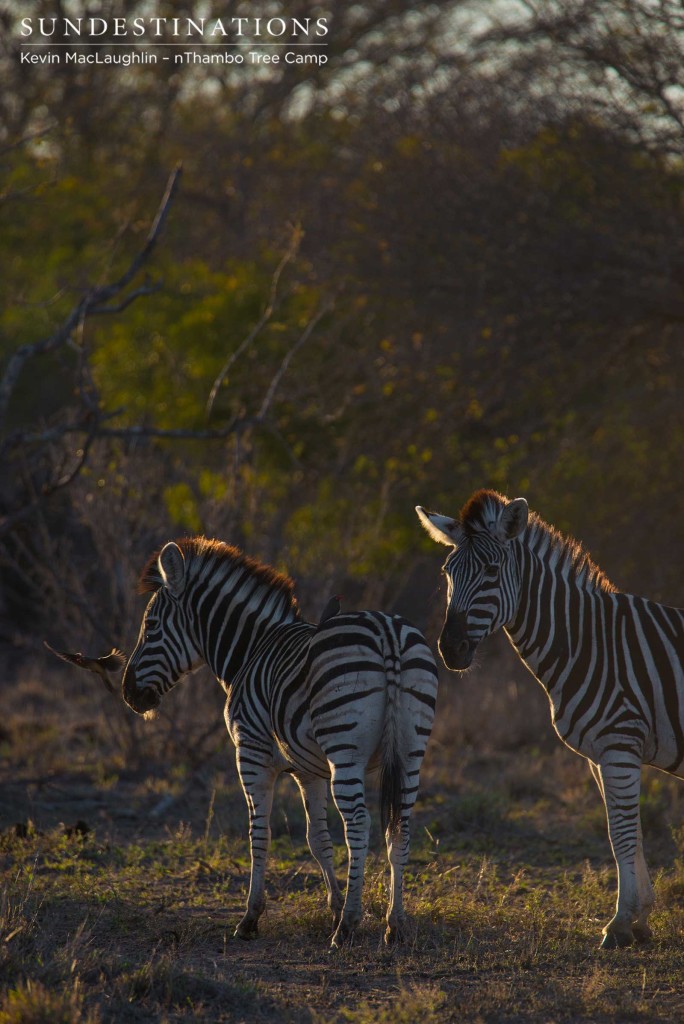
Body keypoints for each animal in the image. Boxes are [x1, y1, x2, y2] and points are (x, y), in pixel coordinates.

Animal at [121, 540, 438, 946]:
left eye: (150, 626)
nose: (129, 694)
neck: (251, 648)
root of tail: (387, 632)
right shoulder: (310, 771)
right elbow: (317, 838)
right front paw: (333, 905)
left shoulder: (250, 752)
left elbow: (259, 833)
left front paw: (251, 917)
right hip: (411, 750)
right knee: (400, 827)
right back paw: (394, 923)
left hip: (345, 751)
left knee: (358, 825)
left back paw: (348, 926)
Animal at [417, 491, 684, 946]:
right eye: (447, 573)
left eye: (491, 571)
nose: (450, 648)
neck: (586, 642)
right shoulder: (601, 755)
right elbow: (627, 834)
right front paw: (640, 919)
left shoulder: (619, 746)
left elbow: (621, 833)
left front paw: (619, 924)